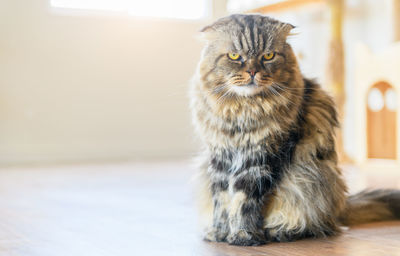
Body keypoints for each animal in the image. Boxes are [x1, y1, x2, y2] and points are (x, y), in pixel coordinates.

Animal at [190, 14, 400, 246]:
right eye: (235, 56)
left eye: (268, 56)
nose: (253, 72)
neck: (243, 111)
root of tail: (341, 206)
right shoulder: (220, 156)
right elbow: (222, 200)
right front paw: (219, 232)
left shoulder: (261, 157)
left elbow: (244, 200)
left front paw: (244, 235)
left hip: (311, 179)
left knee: (317, 225)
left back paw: (280, 230)